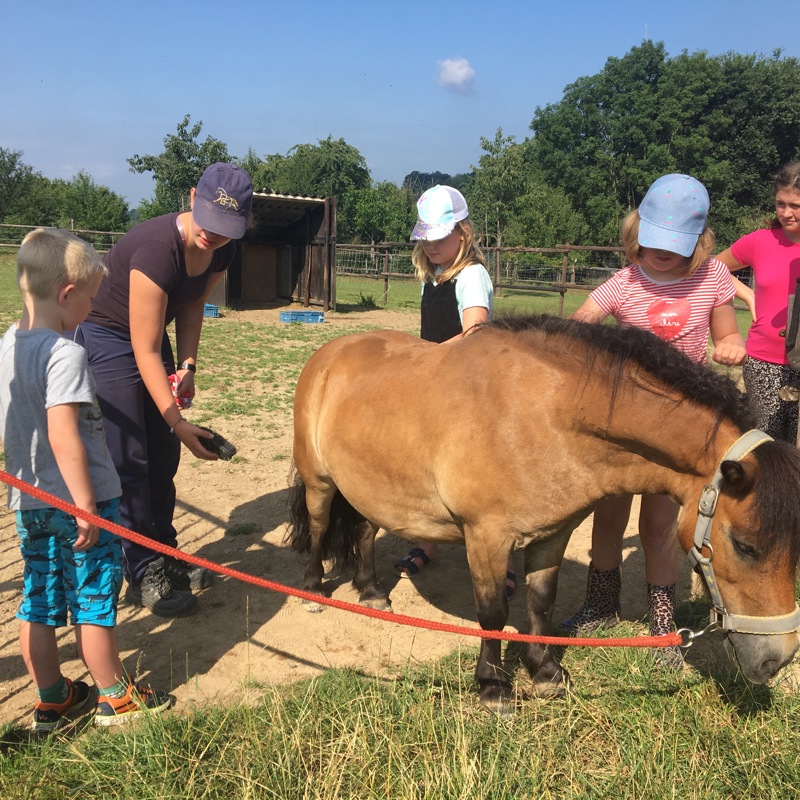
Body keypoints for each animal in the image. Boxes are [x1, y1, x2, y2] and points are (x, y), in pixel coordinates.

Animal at [287, 314, 800, 709]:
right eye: (744, 545)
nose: (777, 659)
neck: (541, 415)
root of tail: (330, 352)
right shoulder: (486, 537)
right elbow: (493, 612)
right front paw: (493, 687)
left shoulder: (552, 533)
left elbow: (540, 603)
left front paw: (546, 673)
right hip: (320, 482)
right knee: (319, 527)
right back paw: (312, 590)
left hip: (371, 485)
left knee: (365, 532)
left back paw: (372, 591)